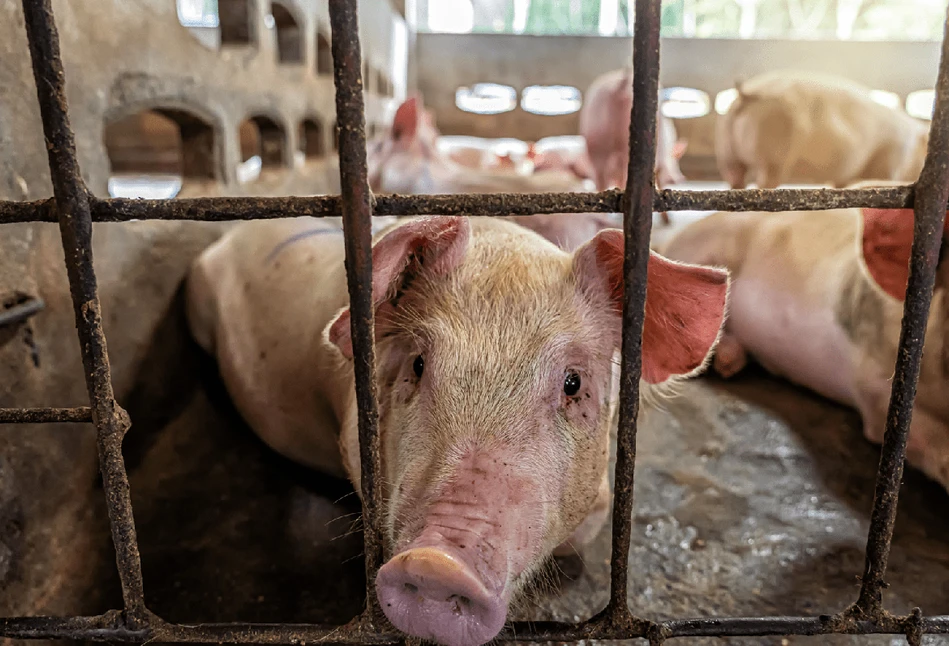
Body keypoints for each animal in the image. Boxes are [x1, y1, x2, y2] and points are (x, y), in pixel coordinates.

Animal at [716, 70, 928, 190]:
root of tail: (747, 94)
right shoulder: (888, 162)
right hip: (773, 156)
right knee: (763, 183)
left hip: (727, 152)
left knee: (735, 179)